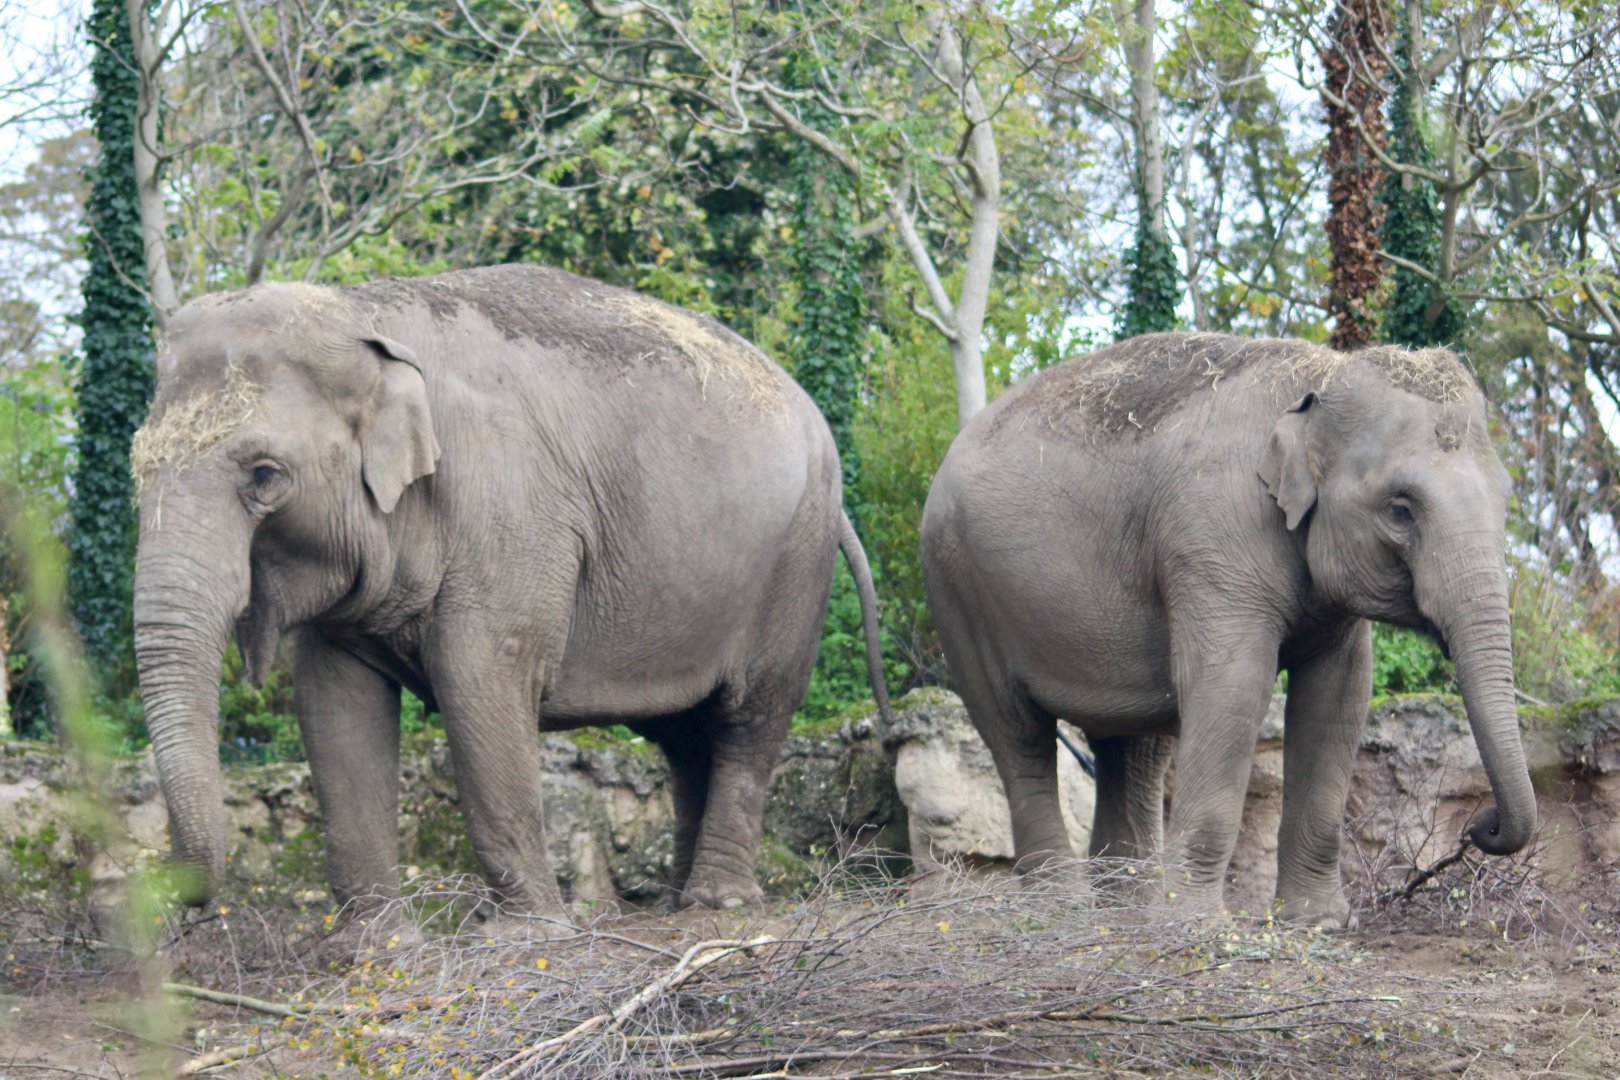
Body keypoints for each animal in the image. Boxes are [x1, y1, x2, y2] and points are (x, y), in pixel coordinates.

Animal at [131, 263, 891, 916]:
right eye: (137, 468)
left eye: (263, 476)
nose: (185, 901)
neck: (362, 312)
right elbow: (333, 703)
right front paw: (379, 950)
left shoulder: (510, 513)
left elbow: (480, 678)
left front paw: (530, 932)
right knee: (683, 732)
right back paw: (676, 900)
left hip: (795, 557)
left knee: (751, 716)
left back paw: (718, 904)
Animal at [920, 332, 1535, 927]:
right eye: (1401, 509)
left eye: (1507, 499)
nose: (1479, 825)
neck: (1320, 376)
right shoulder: (1213, 537)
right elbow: (1234, 687)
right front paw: (1195, 923)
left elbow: (1339, 698)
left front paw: (1319, 923)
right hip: (957, 590)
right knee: (1018, 736)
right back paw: (1063, 908)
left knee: (1132, 744)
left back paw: (1125, 906)